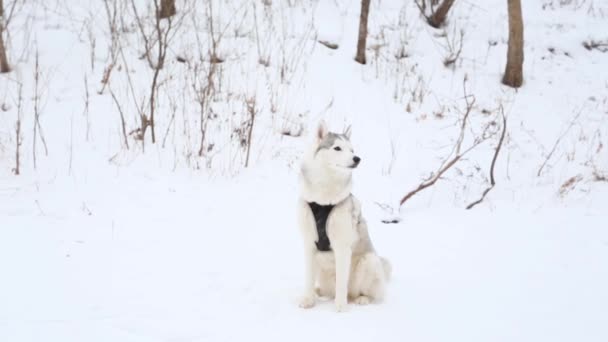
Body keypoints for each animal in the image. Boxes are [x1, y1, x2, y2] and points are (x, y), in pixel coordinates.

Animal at [296, 120, 392, 312]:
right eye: (337, 148)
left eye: (352, 150)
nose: (357, 159)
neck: (323, 201)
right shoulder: (309, 244)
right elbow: (308, 278)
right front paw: (308, 299)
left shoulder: (341, 247)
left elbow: (342, 282)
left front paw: (340, 307)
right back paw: (319, 292)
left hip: (369, 261)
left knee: (363, 293)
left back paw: (361, 299)